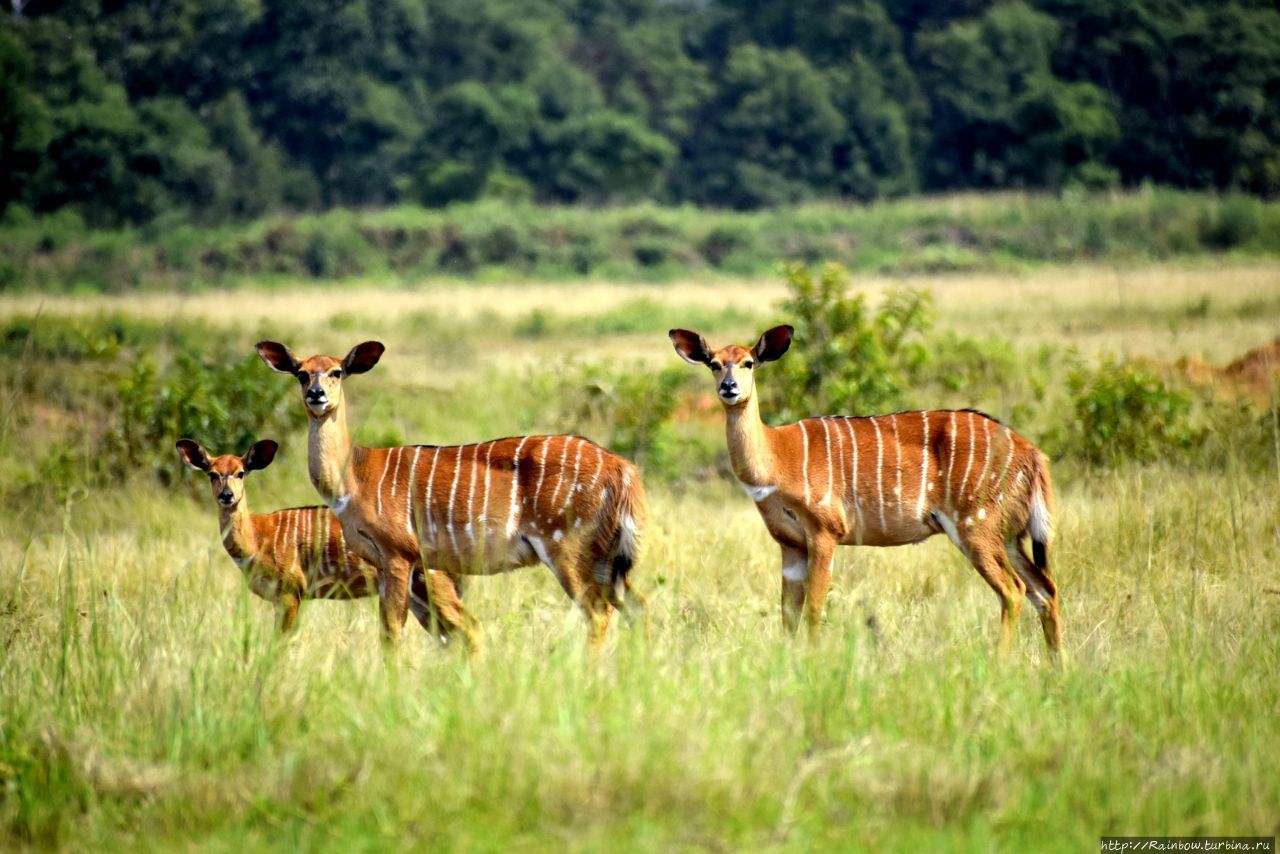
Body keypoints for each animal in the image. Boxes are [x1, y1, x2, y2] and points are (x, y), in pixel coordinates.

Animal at [256, 338, 650, 650]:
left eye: (337, 371)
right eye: (301, 373)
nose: (316, 395)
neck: (355, 474)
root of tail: (622, 469)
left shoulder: (398, 556)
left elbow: (392, 632)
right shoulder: (382, 563)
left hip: (567, 549)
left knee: (598, 613)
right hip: (606, 558)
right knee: (636, 604)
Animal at [670, 323, 1059, 660]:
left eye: (748, 362)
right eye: (714, 363)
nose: (729, 387)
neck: (778, 455)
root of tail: (1032, 453)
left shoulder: (825, 532)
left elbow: (814, 608)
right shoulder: (790, 544)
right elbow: (788, 616)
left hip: (975, 528)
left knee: (1014, 590)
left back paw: (1000, 661)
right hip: (1008, 536)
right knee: (1045, 590)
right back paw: (1058, 666)